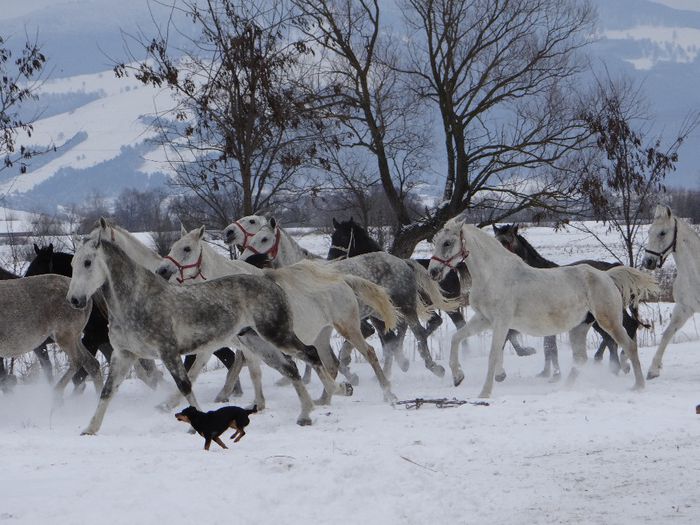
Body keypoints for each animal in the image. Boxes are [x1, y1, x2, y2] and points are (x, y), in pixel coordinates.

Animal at [158, 225, 400, 402]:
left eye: (187, 248)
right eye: (173, 246)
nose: (162, 270)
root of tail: (342, 279)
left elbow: (248, 369)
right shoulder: (230, 344)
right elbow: (197, 370)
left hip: (347, 327)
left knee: (369, 353)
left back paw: (388, 393)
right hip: (321, 335)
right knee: (330, 363)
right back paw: (326, 398)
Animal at [430, 218, 660, 398]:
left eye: (447, 242)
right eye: (435, 242)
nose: (433, 272)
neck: (495, 275)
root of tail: (607, 275)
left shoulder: (501, 322)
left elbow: (494, 354)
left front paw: (484, 393)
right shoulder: (483, 319)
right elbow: (457, 338)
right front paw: (458, 376)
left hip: (608, 321)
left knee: (629, 346)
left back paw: (638, 385)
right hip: (580, 327)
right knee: (581, 358)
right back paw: (564, 390)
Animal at [644, 203, 696, 378]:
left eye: (662, 233)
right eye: (649, 231)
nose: (647, 262)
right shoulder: (683, 308)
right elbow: (667, 333)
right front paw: (653, 369)